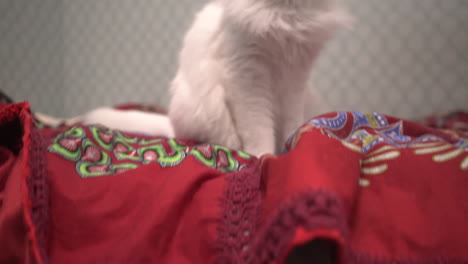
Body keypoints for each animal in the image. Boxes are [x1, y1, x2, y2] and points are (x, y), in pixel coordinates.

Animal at [39, 0, 348, 157]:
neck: (283, 14)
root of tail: (171, 121)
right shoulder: (247, 78)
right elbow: (259, 131)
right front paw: (264, 159)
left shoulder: (296, 77)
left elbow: (291, 126)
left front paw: (290, 149)